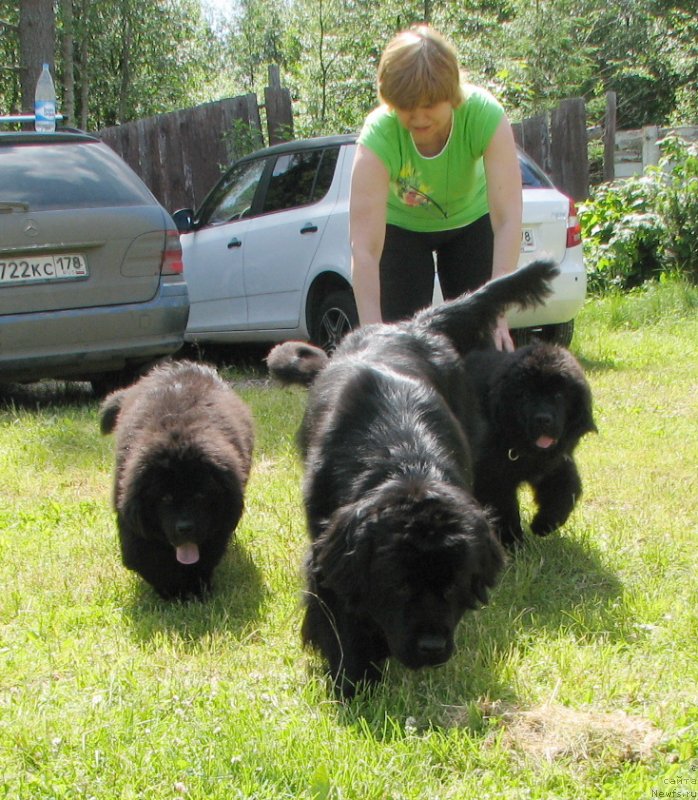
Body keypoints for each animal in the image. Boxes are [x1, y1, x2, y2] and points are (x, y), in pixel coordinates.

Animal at [99, 360, 254, 596]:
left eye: (200, 496)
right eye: (165, 498)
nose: (185, 527)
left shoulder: (220, 519)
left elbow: (204, 557)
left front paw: (196, 590)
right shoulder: (131, 516)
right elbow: (148, 558)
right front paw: (171, 591)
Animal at [270, 260, 556, 692]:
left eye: (453, 584)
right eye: (399, 585)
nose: (433, 647)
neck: (404, 460)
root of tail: (414, 324)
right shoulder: (326, 543)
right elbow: (340, 615)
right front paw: (353, 679)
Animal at [464, 340, 596, 548]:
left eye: (559, 395)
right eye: (525, 395)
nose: (543, 419)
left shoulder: (556, 463)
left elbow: (567, 491)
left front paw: (544, 524)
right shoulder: (492, 476)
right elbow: (504, 509)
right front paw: (512, 542)